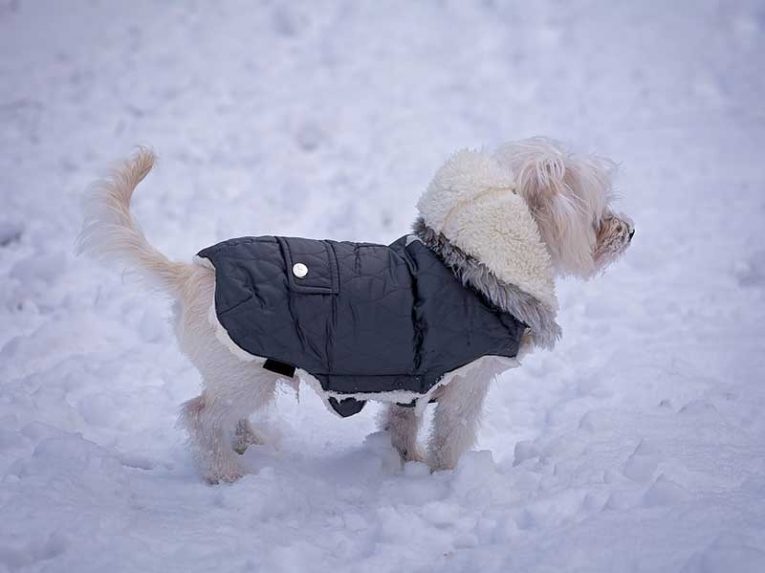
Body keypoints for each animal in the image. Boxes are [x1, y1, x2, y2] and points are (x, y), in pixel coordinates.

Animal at [79, 139, 632, 482]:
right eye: (596, 213)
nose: (629, 230)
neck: (472, 266)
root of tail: (194, 273)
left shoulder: (411, 383)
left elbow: (402, 426)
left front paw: (406, 463)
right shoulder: (467, 385)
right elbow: (451, 437)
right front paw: (444, 479)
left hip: (240, 375)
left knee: (222, 417)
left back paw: (251, 444)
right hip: (245, 374)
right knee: (200, 418)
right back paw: (226, 474)